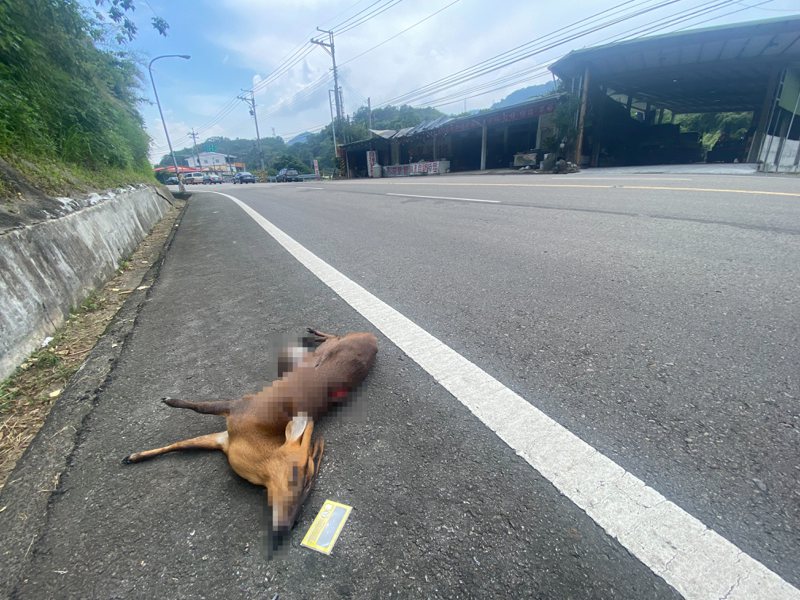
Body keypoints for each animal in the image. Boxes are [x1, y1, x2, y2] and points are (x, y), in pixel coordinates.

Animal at [122, 328, 378, 536]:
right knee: (334, 336)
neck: (256, 435)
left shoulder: (224, 436)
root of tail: (373, 339)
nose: (286, 527)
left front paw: (132, 456)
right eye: (300, 473)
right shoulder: (237, 409)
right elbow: (194, 416)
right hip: (321, 351)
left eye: (311, 484)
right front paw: (136, 451)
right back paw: (312, 334)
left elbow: (184, 443)